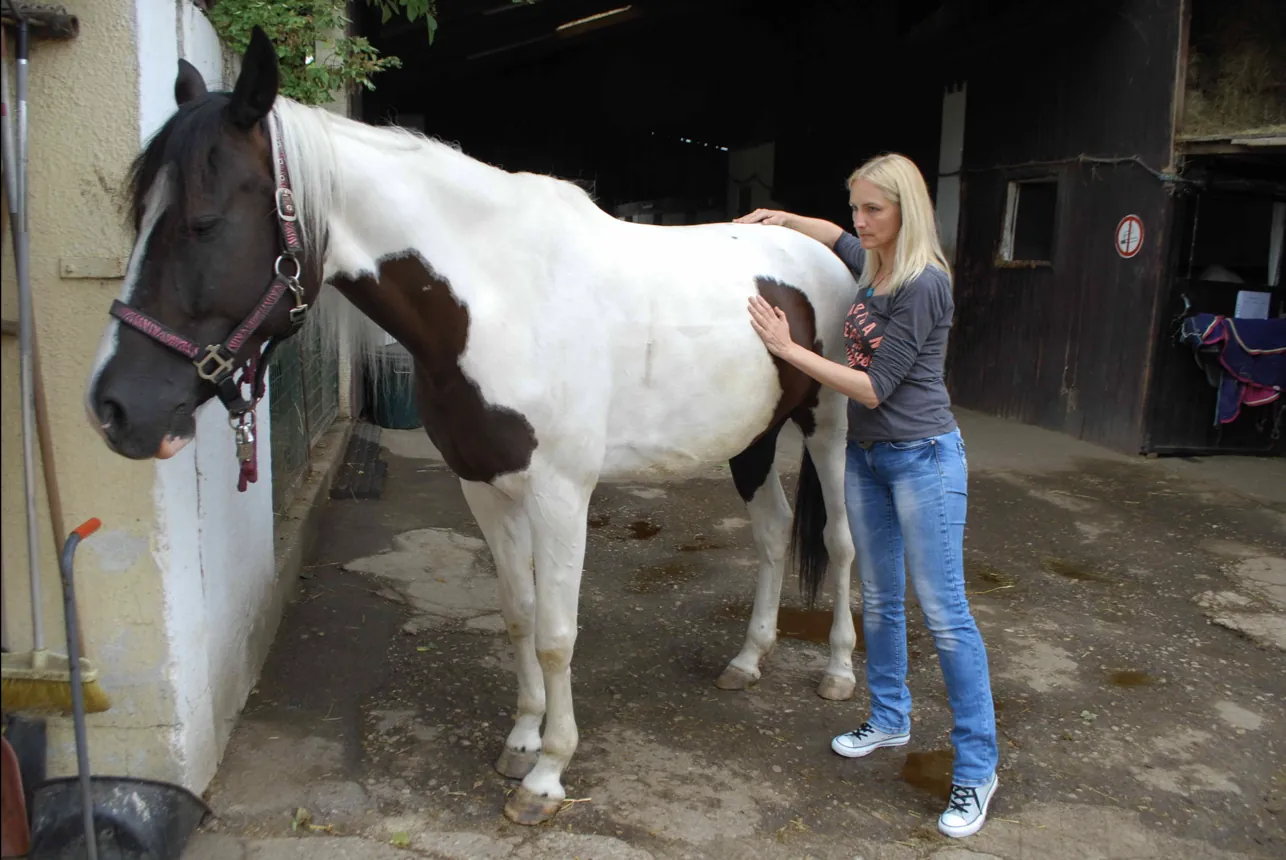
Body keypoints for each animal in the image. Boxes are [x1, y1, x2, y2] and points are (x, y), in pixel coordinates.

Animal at [85, 27, 859, 825]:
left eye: (203, 224)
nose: (116, 410)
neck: (498, 297)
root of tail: (820, 252)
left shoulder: (561, 495)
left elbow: (556, 634)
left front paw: (548, 776)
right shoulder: (484, 486)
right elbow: (518, 612)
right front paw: (521, 741)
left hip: (827, 425)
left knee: (840, 540)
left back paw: (837, 672)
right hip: (754, 439)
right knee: (772, 533)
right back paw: (748, 659)